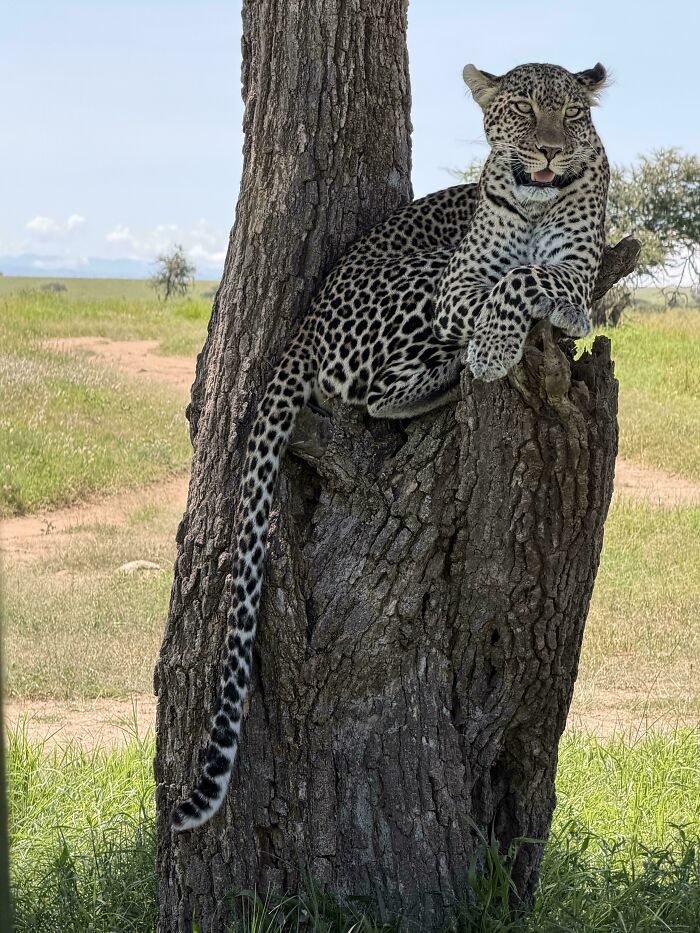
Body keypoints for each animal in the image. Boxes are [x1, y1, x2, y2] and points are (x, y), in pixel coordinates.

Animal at [171, 61, 610, 831]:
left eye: (574, 115)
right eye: (523, 111)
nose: (551, 153)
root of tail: (304, 324)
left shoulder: (579, 264)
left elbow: (536, 276)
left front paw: (547, 319)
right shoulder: (459, 281)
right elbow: (502, 284)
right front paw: (497, 347)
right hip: (415, 284)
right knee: (370, 394)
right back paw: (453, 379)